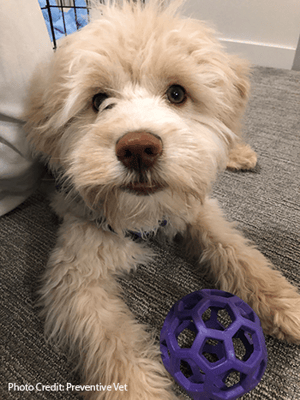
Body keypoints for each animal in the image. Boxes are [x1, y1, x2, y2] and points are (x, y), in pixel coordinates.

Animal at [24, 1, 300, 398]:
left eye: (177, 94)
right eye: (98, 100)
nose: (138, 148)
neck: (145, 212)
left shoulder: (196, 205)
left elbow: (235, 248)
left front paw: (283, 302)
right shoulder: (75, 272)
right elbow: (111, 341)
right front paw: (139, 388)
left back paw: (240, 153)